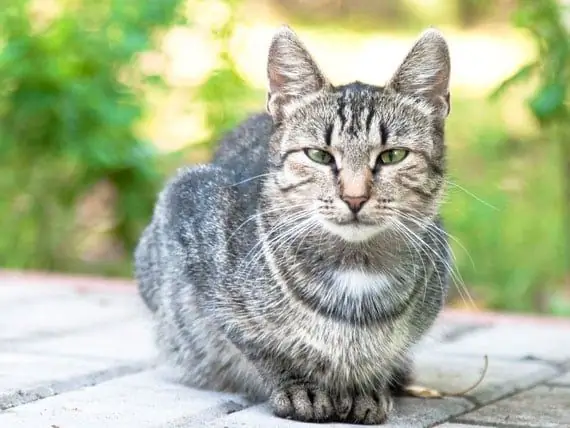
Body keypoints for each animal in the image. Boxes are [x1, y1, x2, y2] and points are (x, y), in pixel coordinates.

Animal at [135, 26, 450, 424]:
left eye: (393, 156)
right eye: (319, 155)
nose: (355, 197)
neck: (355, 269)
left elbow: (385, 352)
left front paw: (367, 385)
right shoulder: (189, 213)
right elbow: (254, 340)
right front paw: (299, 385)